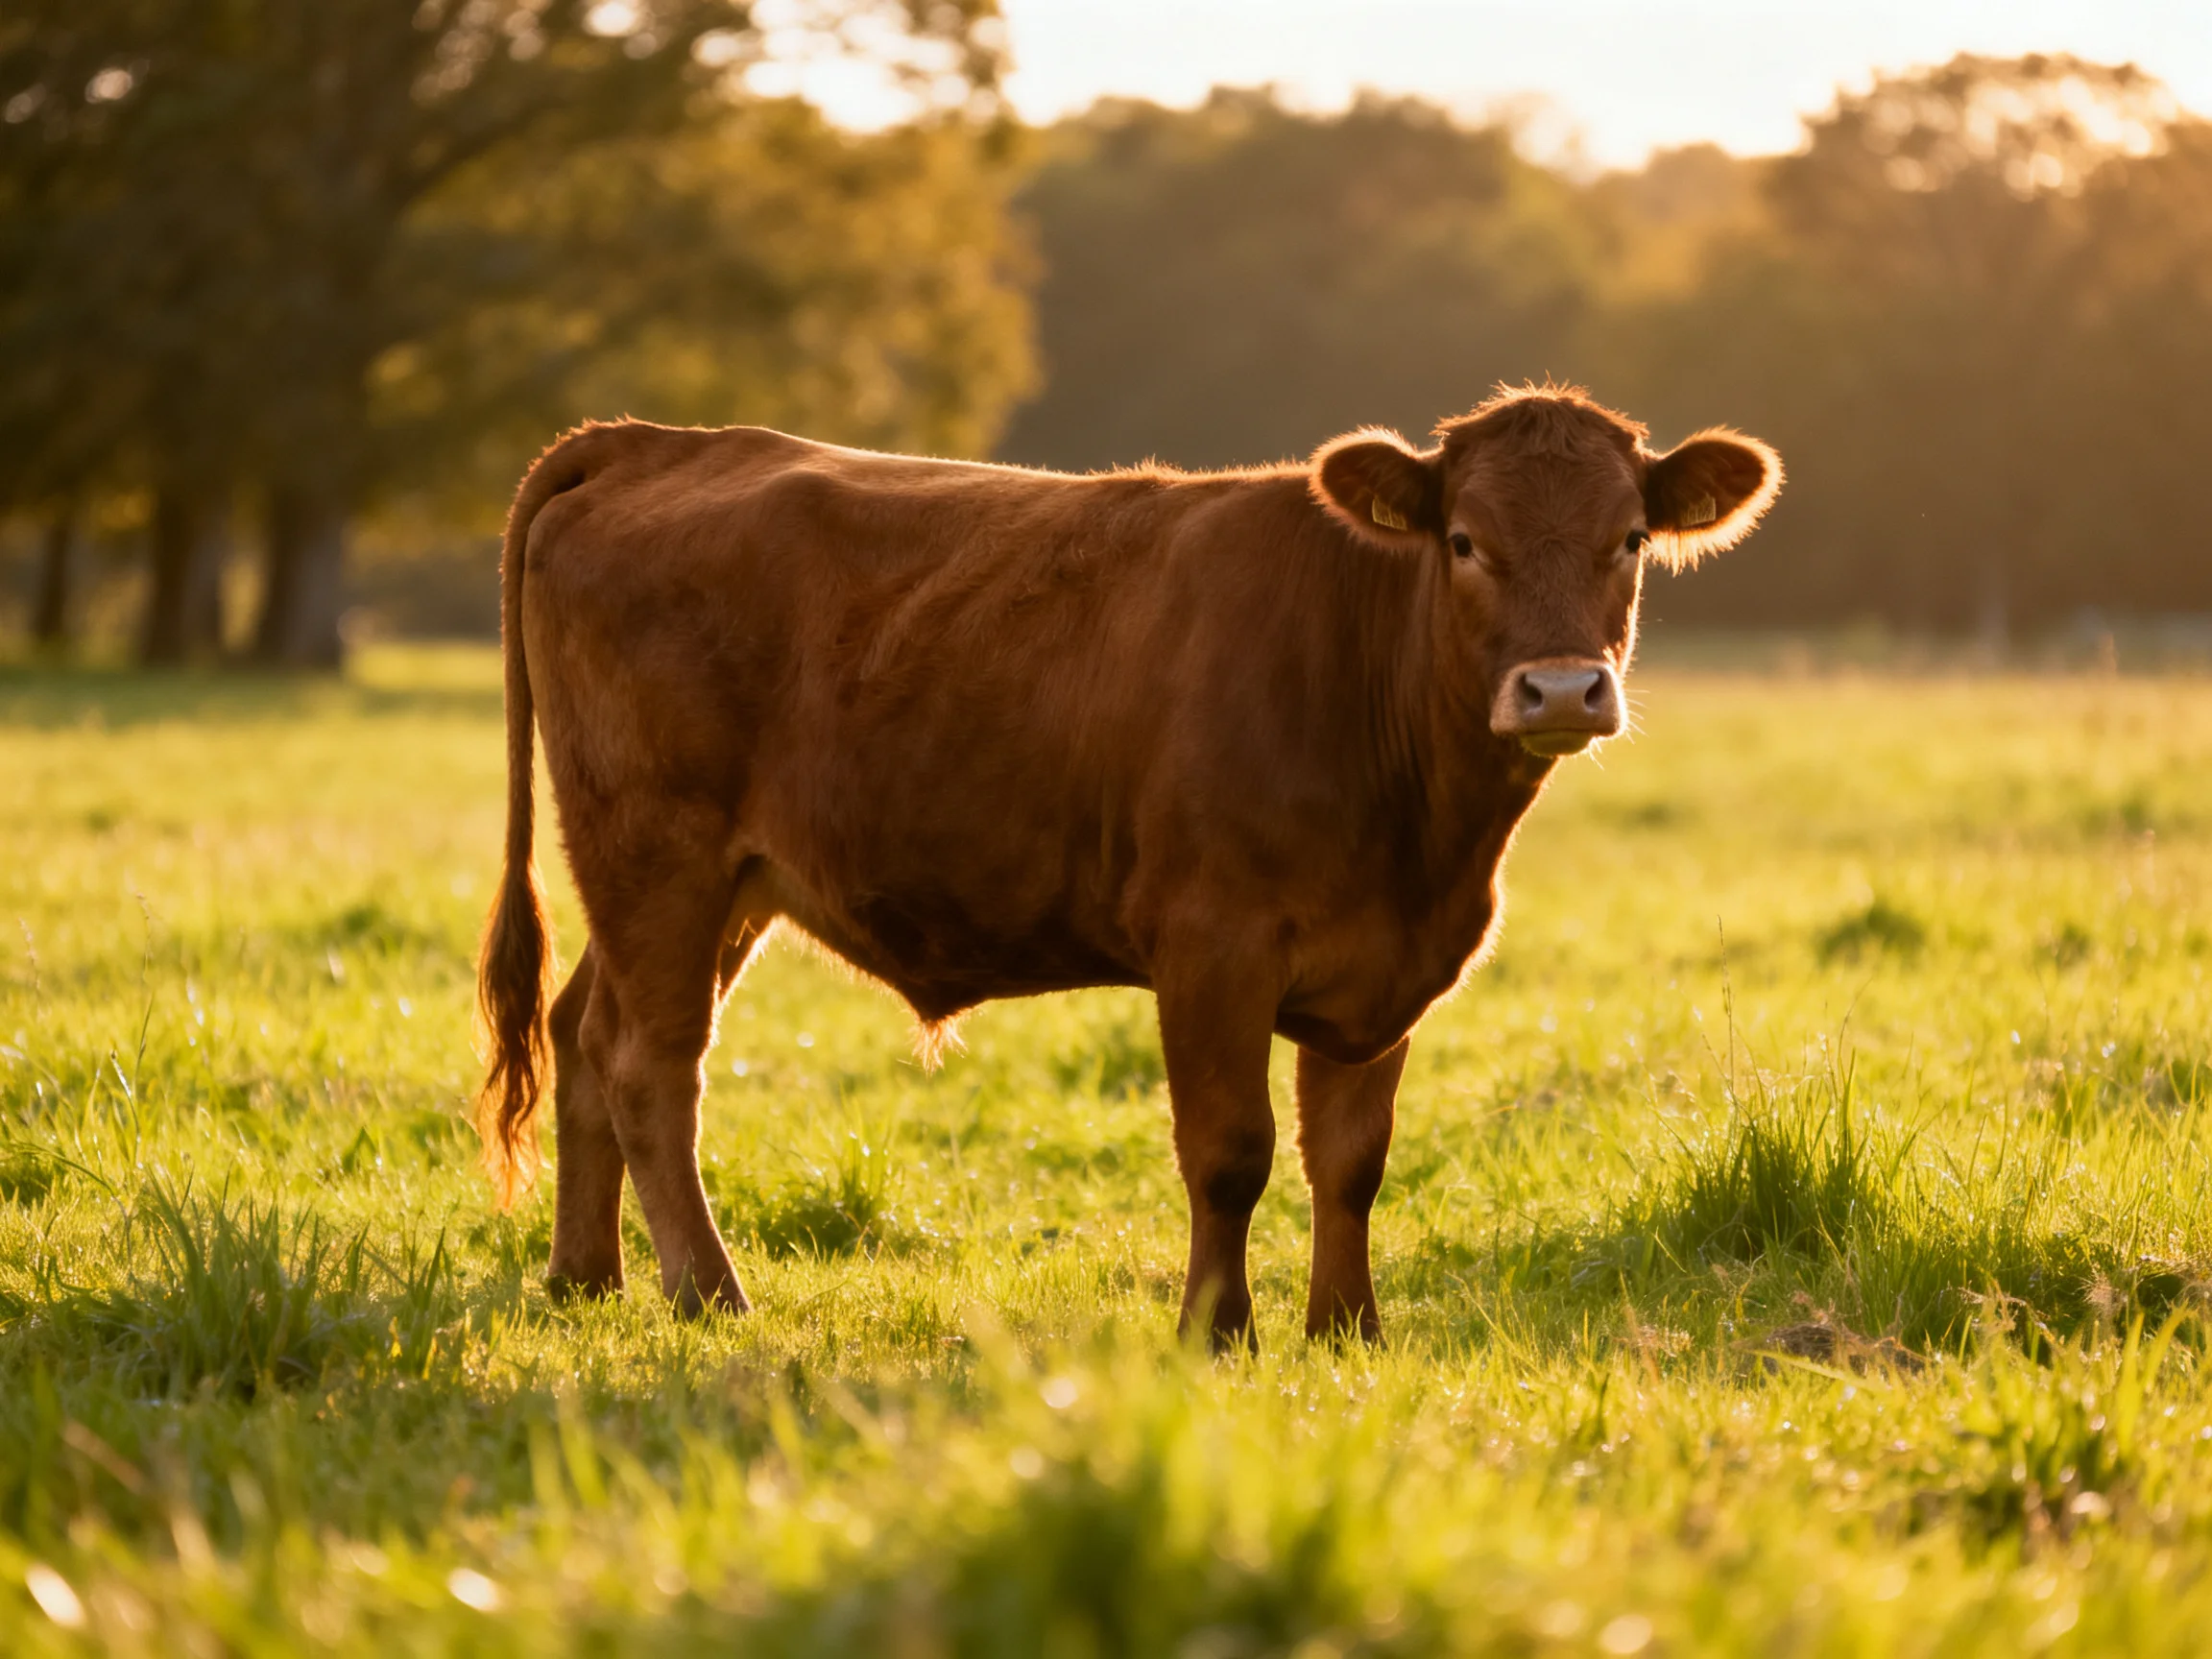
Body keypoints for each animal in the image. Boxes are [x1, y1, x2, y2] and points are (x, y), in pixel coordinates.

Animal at [475, 384, 1780, 1349]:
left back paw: (584, 1281)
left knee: (584, 1028)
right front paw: (1219, 1332)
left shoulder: (1383, 968)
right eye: (1465, 541)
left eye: (1629, 540)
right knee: (651, 1062)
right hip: (659, 851)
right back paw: (709, 1296)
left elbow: (1351, 1160)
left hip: (718, 881)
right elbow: (1231, 1152)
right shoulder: (1212, 943)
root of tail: (654, 441)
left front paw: (1346, 1330)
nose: (1561, 690)